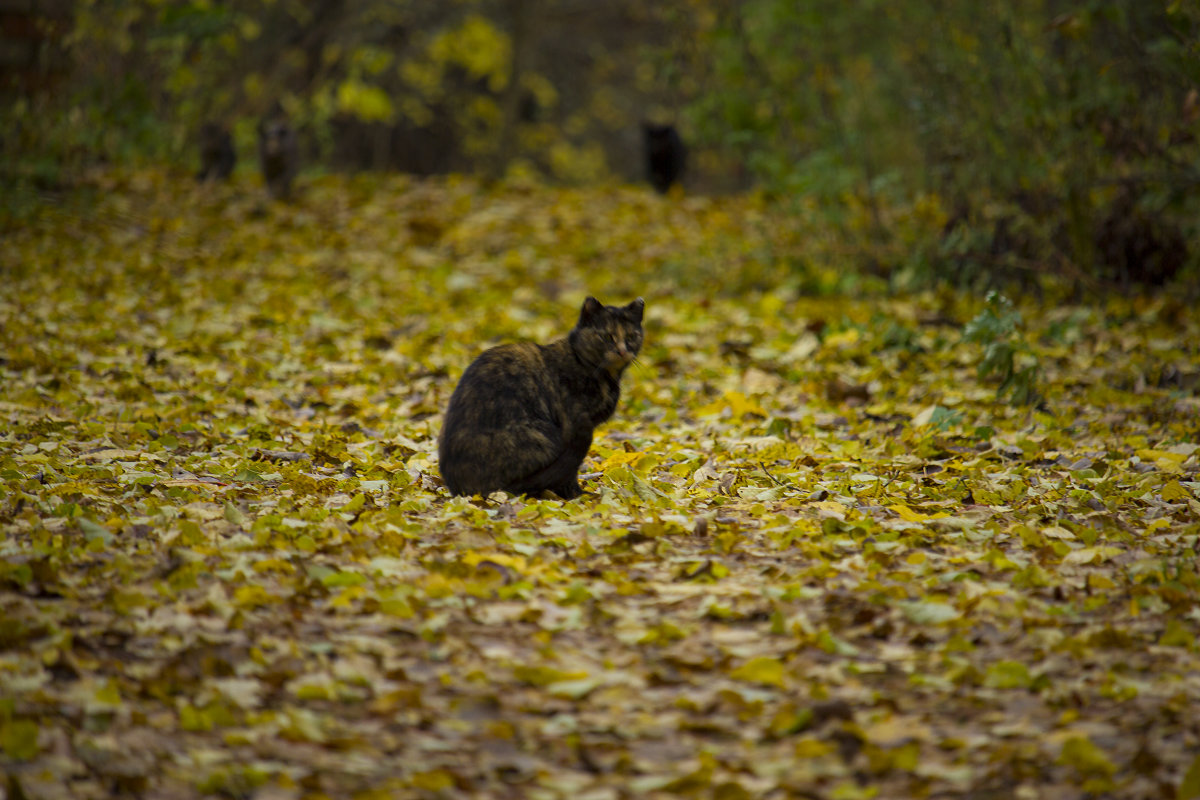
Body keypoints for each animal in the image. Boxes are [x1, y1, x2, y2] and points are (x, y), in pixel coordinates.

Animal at [441, 298, 648, 501]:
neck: (603, 374)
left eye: (631, 337)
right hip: (544, 435)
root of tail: (459, 489)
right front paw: (577, 495)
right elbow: (570, 470)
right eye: (607, 337)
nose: (622, 351)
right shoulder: (575, 427)